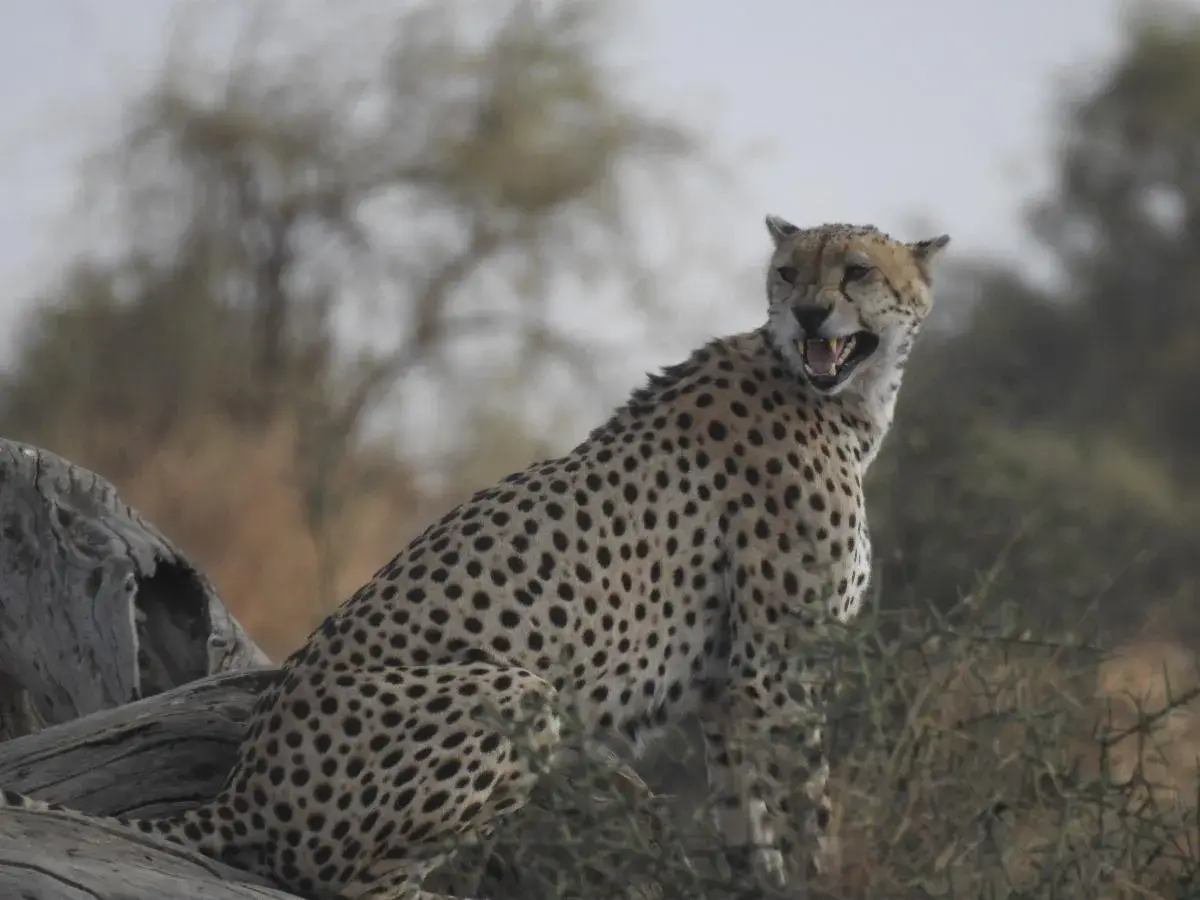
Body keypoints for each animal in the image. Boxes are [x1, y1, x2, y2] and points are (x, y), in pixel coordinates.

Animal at [0, 214, 950, 899]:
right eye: (788, 271)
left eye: (855, 272)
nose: (809, 313)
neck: (839, 398)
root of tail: (242, 786)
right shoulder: (773, 670)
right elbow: (802, 805)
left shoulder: (730, 684)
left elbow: (747, 819)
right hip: (517, 690)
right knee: (336, 880)